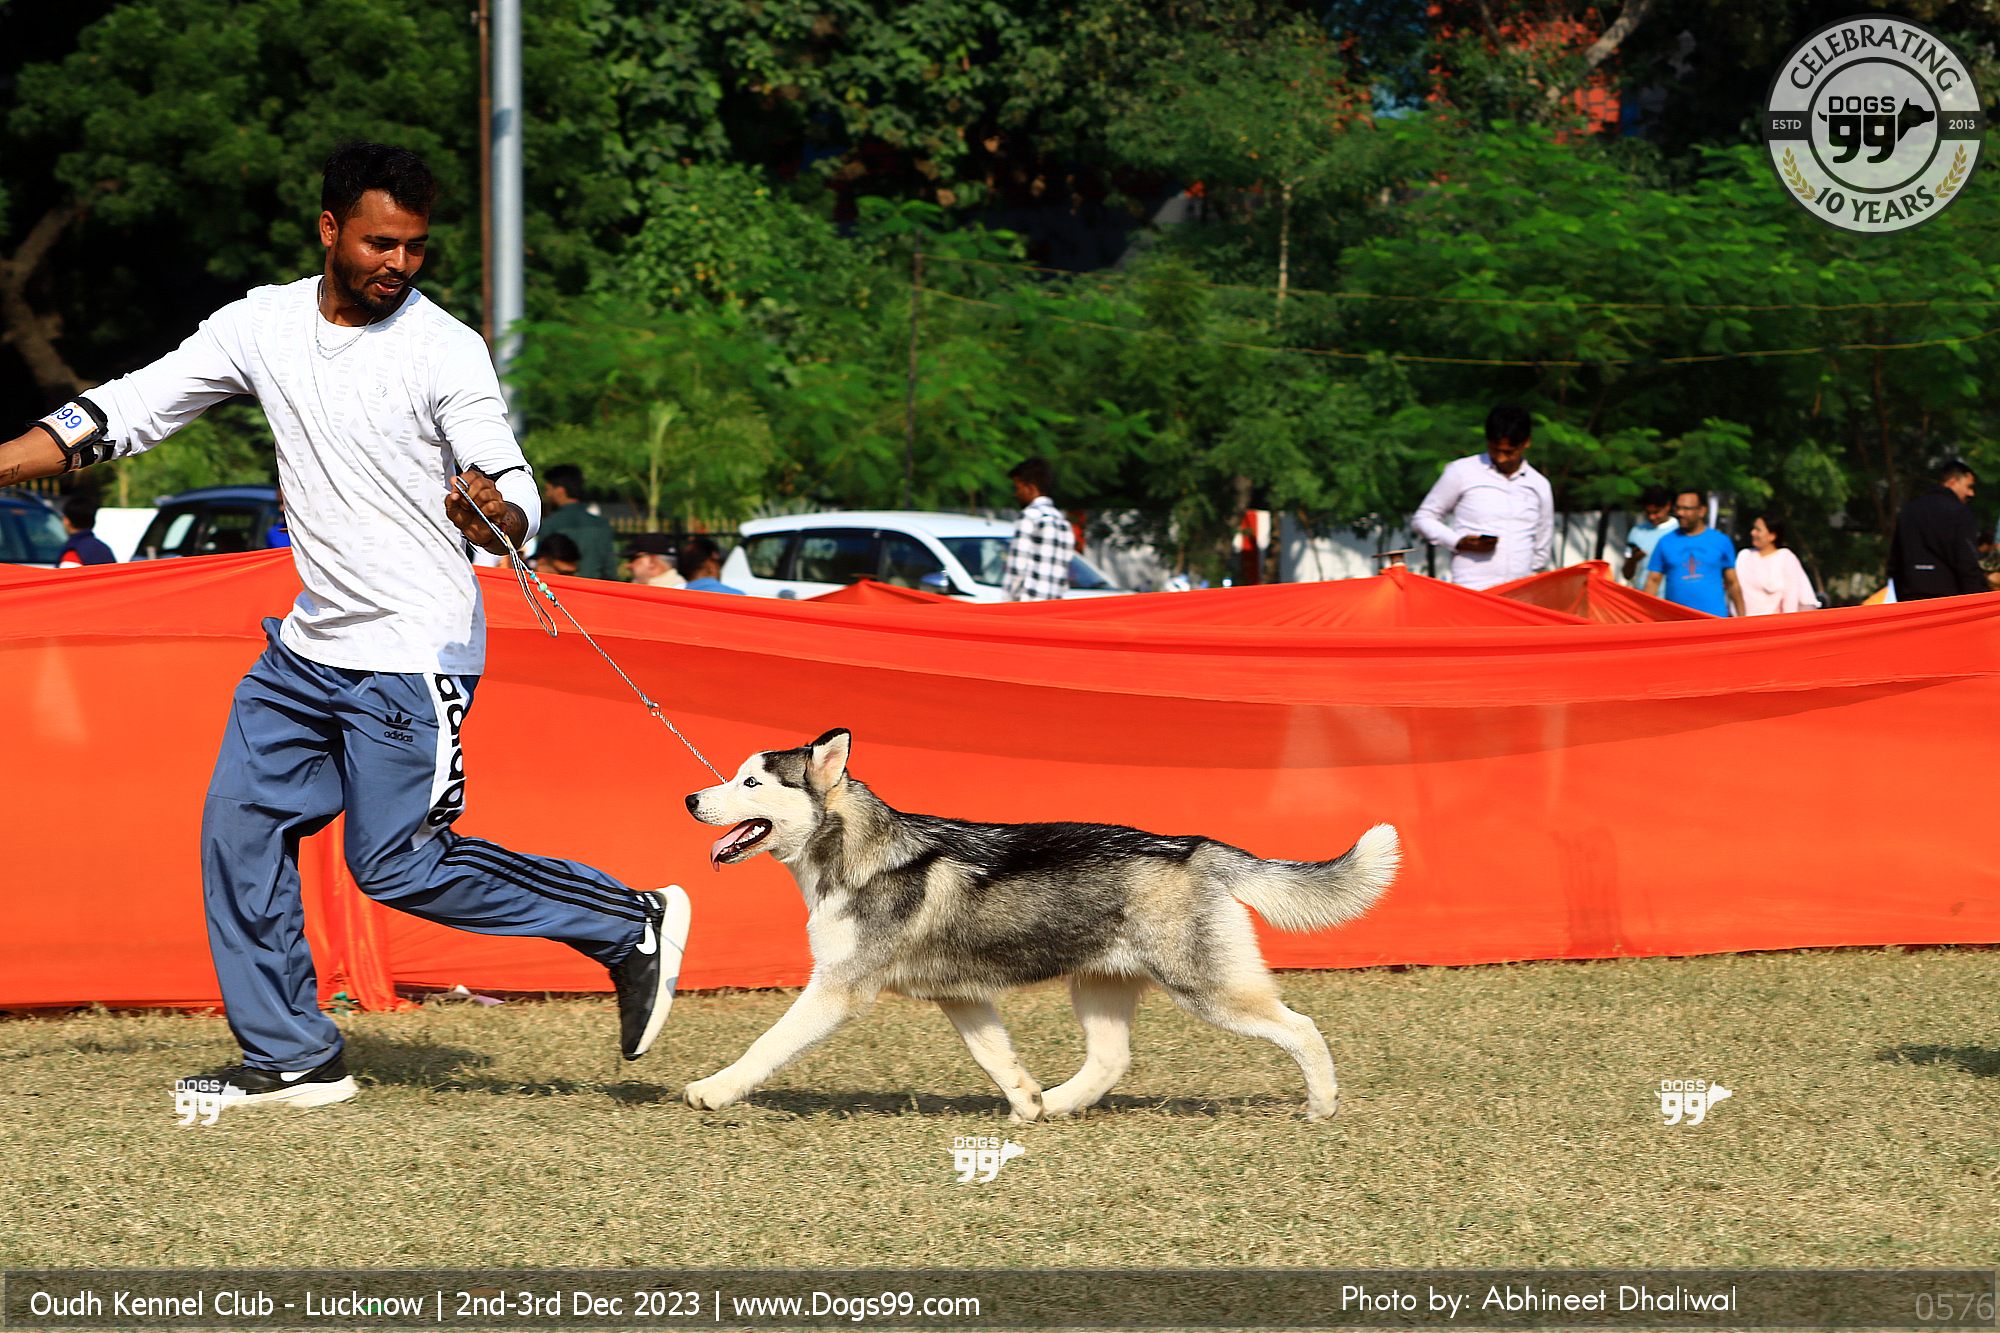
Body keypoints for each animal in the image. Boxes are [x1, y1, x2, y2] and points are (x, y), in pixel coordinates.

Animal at [682, 729, 1399, 1120]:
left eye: (750, 782)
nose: (689, 798)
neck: (854, 853)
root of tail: (1194, 846)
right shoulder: (962, 996)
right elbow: (996, 1057)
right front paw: (1026, 1101)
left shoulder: (837, 990)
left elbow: (766, 1045)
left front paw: (713, 1090)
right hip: (1100, 986)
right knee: (1111, 1060)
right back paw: (1055, 1102)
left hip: (1209, 988)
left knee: (1301, 1027)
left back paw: (1323, 1104)